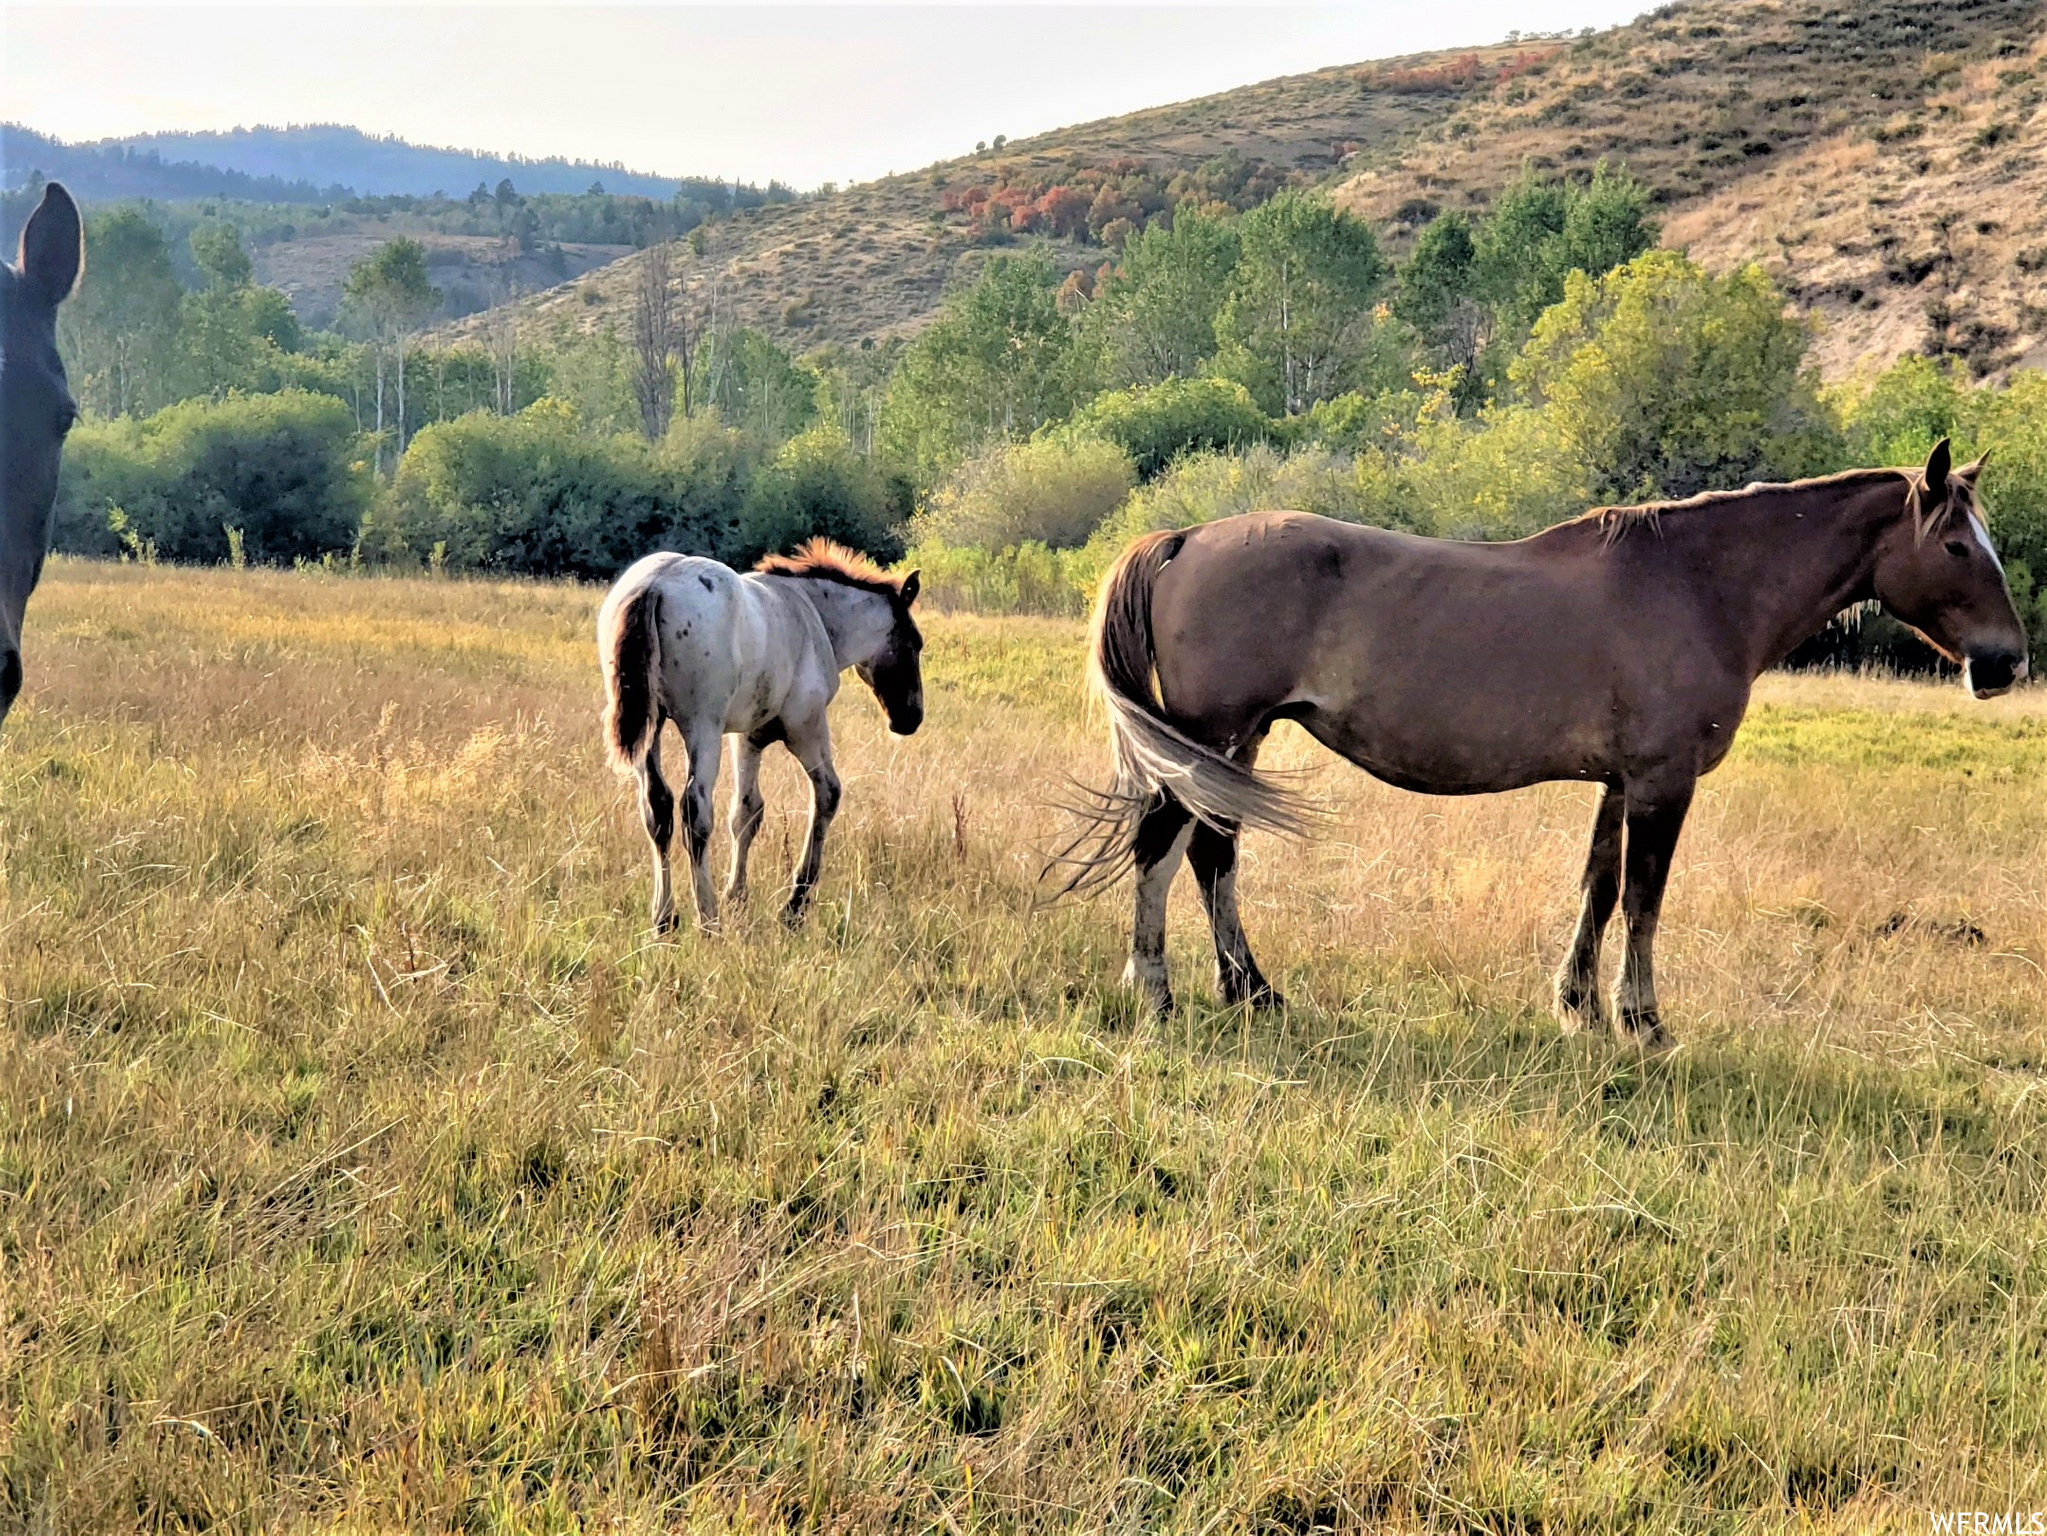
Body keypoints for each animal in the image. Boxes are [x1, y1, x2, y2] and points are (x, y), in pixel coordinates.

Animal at [1064, 442, 2022, 1048]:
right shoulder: (1662, 783)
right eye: (1953, 545)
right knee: (1161, 848)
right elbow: (1642, 900)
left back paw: (1252, 991)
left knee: (1213, 856)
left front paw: (1578, 1007)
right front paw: (1642, 1021)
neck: (1696, 585)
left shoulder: (1618, 782)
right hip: (1212, 736)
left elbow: (1596, 889)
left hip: (1237, 745)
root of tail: (1184, 538)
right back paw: (1156, 992)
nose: (2006, 662)